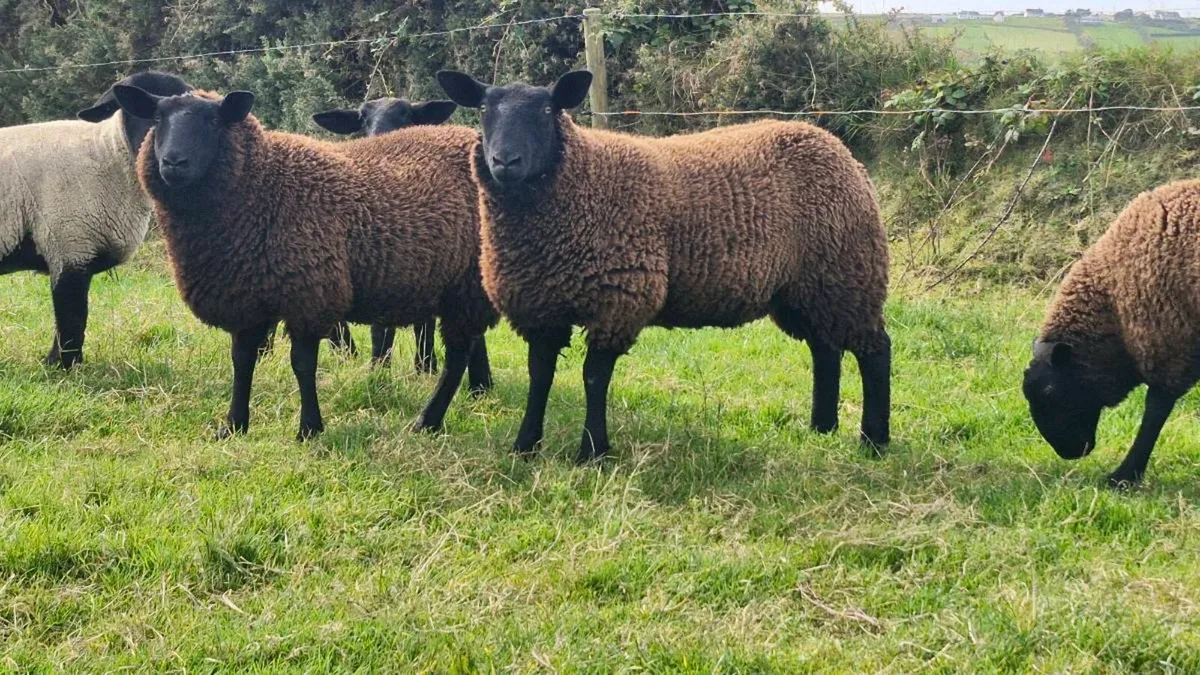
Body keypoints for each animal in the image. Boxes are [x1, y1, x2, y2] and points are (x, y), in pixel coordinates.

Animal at [0, 71, 193, 368]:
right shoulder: (69, 244)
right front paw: (65, 366)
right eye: (135, 108)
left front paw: (57, 363)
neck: (108, 151)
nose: (169, 159)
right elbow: (72, 317)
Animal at [309, 95, 491, 389]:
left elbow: (425, 326)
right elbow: (381, 329)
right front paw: (379, 371)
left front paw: (425, 367)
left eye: (407, 115)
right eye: (362, 119)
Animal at [437, 70, 892, 464]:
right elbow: (540, 375)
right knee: (825, 349)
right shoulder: (540, 305)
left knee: (875, 350)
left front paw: (592, 452)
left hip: (847, 272)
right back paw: (822, 428)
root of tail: (837, 149)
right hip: (805, 289)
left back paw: (874, 441)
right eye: (483, 108)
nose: (505, 161)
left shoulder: (619, 299)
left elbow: (593, 377)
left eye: (547, 110)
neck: (581, 183)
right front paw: (525, 446)